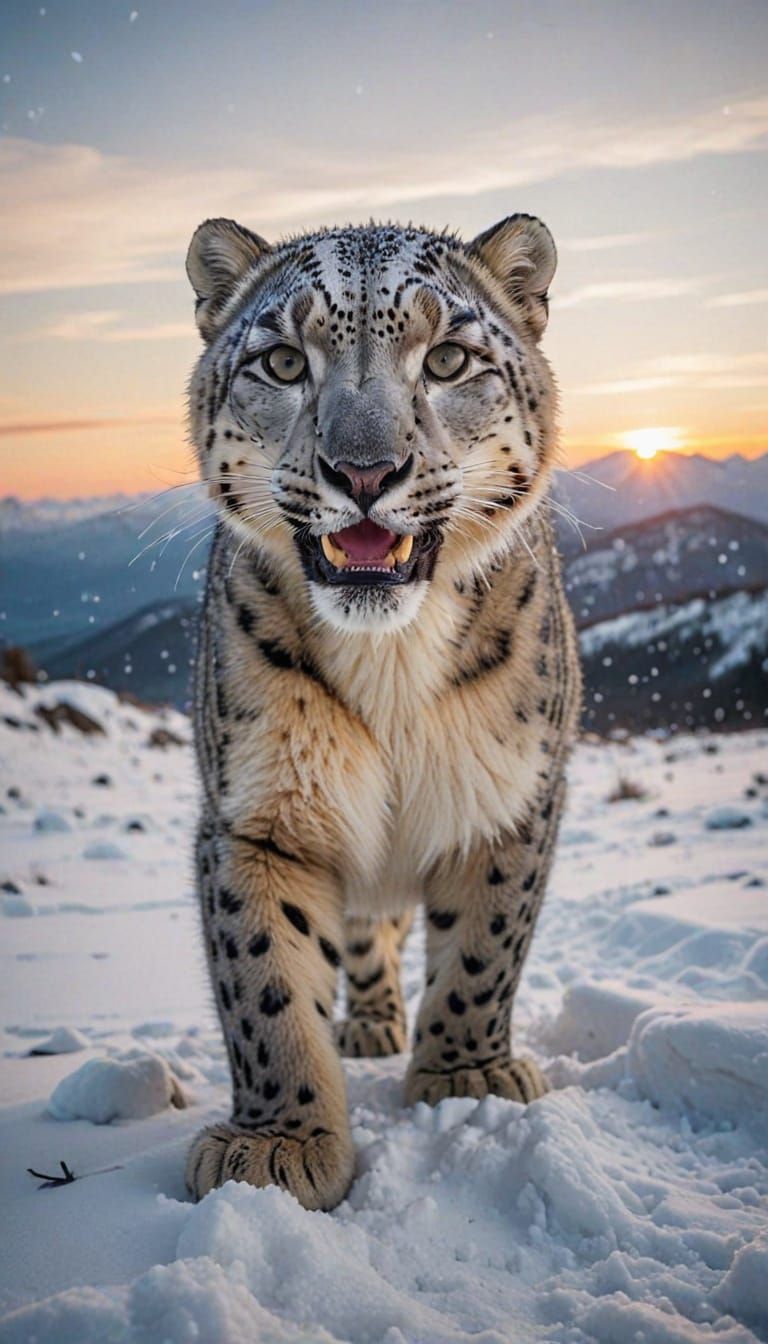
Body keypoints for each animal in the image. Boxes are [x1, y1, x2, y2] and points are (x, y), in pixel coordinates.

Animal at [183, 213, 581, 1211]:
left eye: (447, 358)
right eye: (284, 361)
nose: (364, 472)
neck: (391, 666)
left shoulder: (515, 797)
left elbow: (485, 945)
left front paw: (468, 1076)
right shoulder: (256, 813)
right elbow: (266, 979)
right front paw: (278, 1143)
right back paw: (364, 1025)